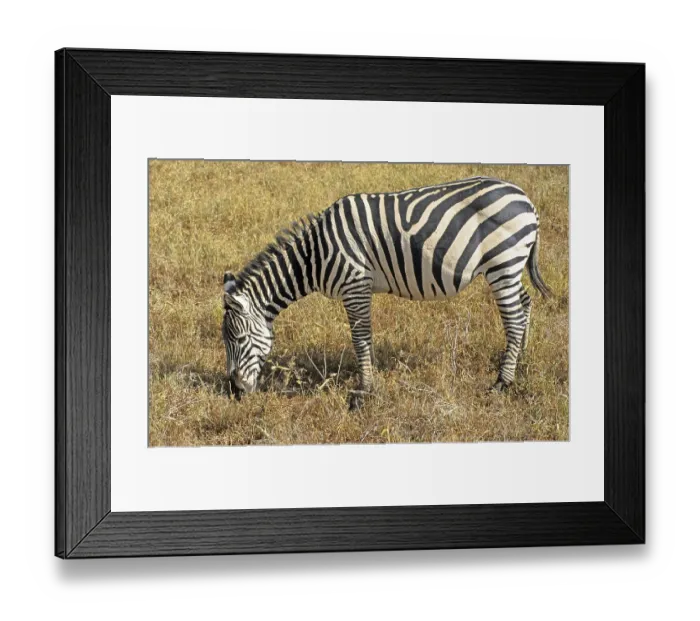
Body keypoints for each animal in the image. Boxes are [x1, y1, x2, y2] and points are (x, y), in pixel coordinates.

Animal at [222, 176, 551, 409]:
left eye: (238, 339)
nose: (234, 393)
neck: (314, 255)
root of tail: (525, 199)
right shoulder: (359, 288)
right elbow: (364, 337)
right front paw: (369, 383)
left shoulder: (355, 285)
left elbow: (360, 338)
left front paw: (363, 391)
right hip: (510, 266)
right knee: (524, 303)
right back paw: (519, 357)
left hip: (503, 262)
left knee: (514, 319)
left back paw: (502, 382)